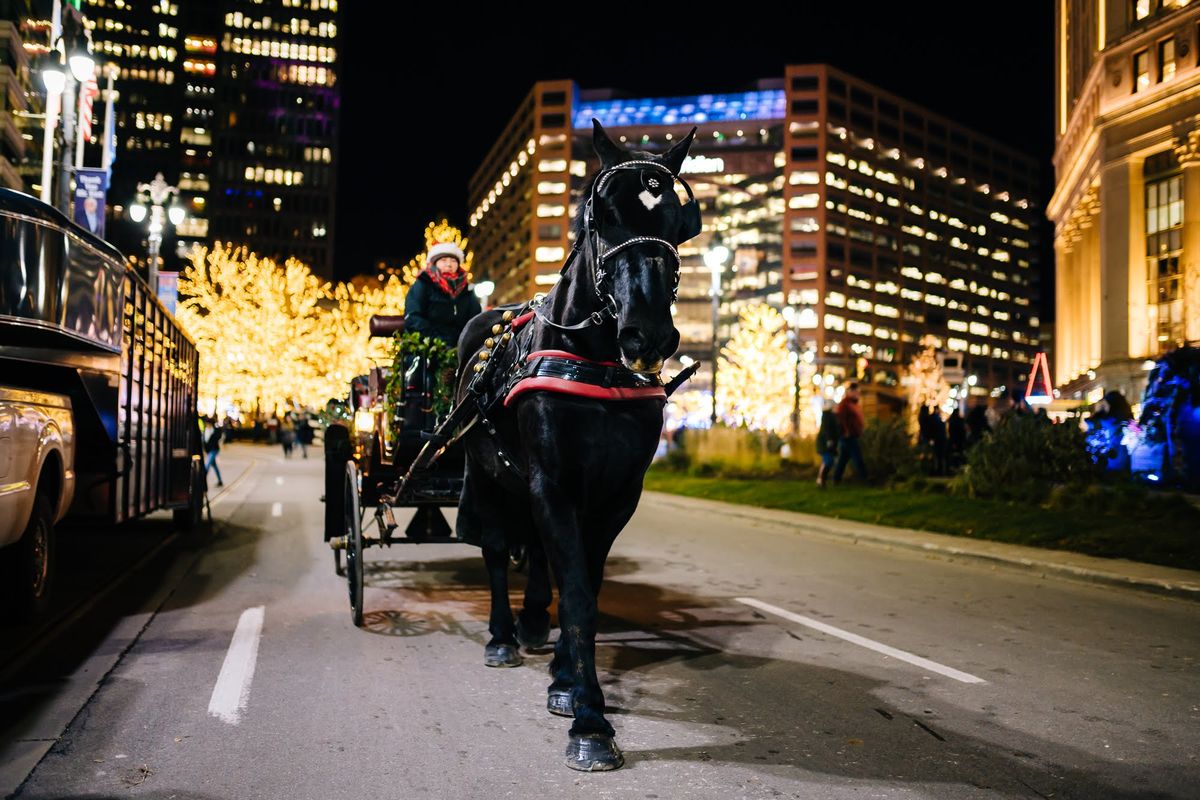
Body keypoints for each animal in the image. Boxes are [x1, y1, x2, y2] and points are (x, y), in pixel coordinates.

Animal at [451, 122, 700, 772]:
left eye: (675, 220)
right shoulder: (552, 484)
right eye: (600, 214)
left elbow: (582, 582)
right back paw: (503, 635)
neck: (594, 360)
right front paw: (591, 721)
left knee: (538, 555)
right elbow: (581, 598)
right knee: (495, 550)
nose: (648, 334)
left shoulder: (615, 495)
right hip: (487, 475)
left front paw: (568, 681)